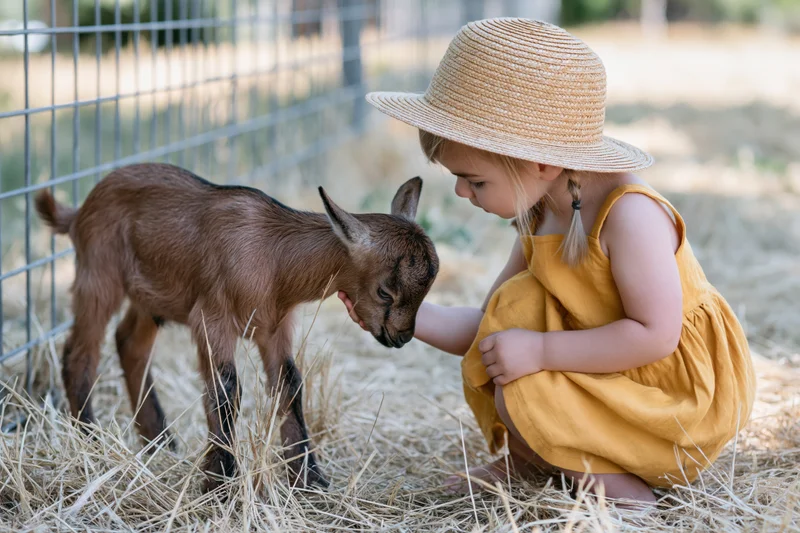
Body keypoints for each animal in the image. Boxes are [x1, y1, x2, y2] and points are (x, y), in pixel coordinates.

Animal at [34, 162, 439, 493]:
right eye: (385, 291)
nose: (401, 337)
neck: (274, 256)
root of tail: (79, 210)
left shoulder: (274, 328)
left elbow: (290, 384)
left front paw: (309, 479)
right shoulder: (212, 319)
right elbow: (225, 390)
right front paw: (220, 483)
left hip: (151, 298)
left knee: (130, 343)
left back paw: (160, 441)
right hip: (99, 274)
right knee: (79, 353)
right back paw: (90, 438)